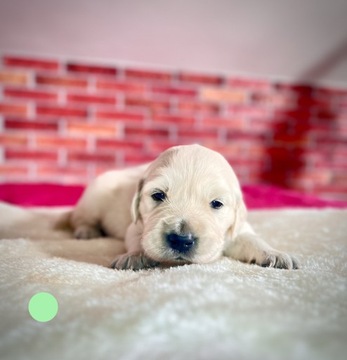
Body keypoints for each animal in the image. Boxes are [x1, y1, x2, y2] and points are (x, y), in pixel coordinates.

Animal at [71, 143, 300, 270]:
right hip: (94, 197)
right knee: (81, 218)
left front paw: (275, 254)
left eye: (216, 203)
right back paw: (86, 231)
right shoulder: (138, 225)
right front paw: (135, 256)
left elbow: (252, 239)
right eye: (158, 195)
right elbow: (138, 239)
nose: (181, 239)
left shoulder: (237, 229)